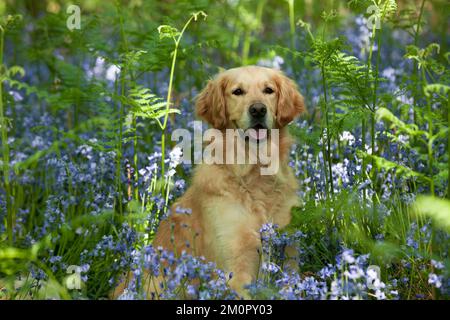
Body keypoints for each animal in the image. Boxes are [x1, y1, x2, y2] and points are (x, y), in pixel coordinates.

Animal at [111, 65, 306, 300]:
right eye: (237, 91)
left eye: (268, 90)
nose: (258, 109)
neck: (254, 172)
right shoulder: (236, 266)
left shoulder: (290, 255)